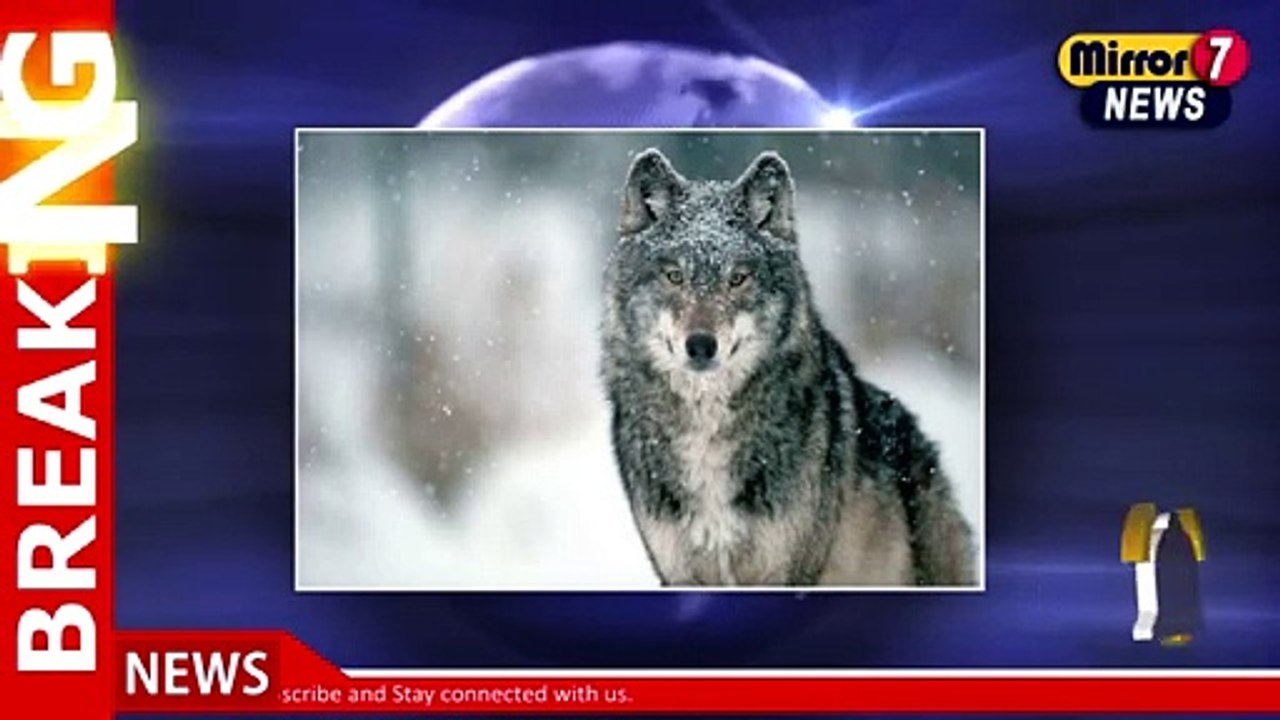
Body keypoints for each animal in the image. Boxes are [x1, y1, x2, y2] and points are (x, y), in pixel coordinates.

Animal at [601, 147, 976, 587]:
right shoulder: (679, 574)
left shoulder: (785, 572)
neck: (706, 430)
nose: (701, 345)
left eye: (738, 278)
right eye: (674, 276)